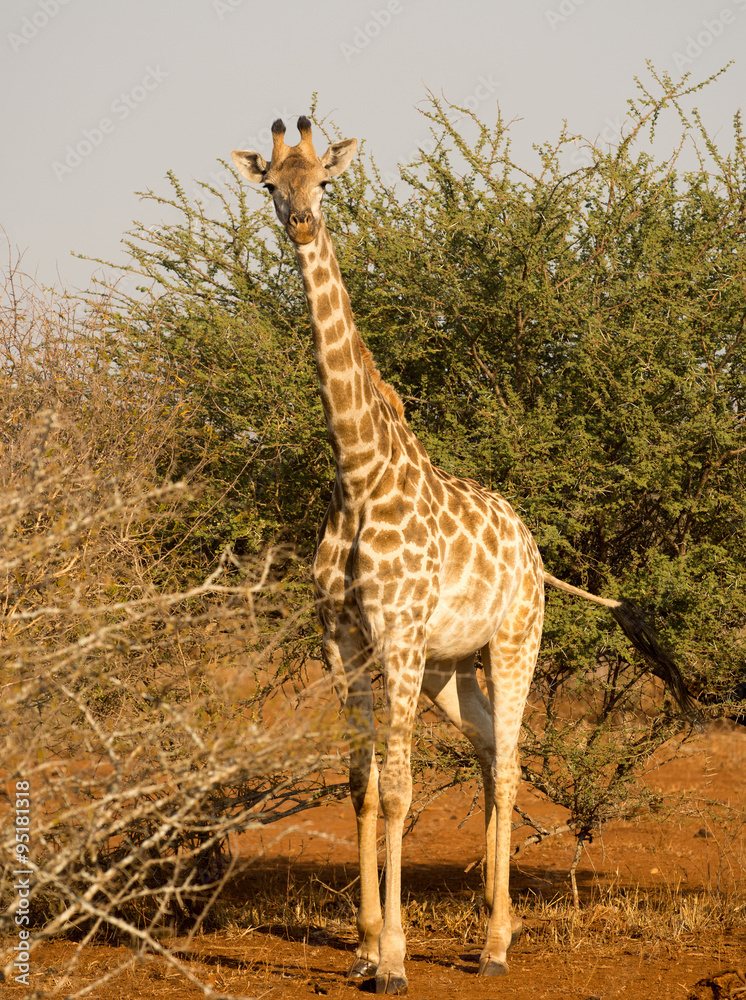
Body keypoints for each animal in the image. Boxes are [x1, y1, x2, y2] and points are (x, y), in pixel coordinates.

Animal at [231, 117, 691, 994]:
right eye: (271, 184)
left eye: (327, 183)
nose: (300, 223)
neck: (358, 472)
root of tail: (535, 551)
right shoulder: (343, 642)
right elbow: (361, 788)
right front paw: (362, 948)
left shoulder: (398, 639)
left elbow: (401, 791)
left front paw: (395, 959)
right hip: (452, 666)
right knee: (485, 749)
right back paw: (489, 924)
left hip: (513, 643)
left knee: (508, 759)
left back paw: (498, 945)